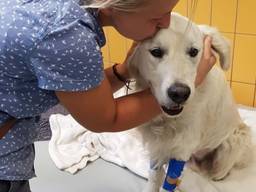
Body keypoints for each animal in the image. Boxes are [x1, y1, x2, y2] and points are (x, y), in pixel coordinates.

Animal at [127, 12, 251, 191]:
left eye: (193, 51)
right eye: (156, 52)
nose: (180, 93)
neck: (168, 119)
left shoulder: (181, 149)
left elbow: (168, 183)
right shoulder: (158, 146)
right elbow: (154, 176)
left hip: (236, 138)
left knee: (218, 172)